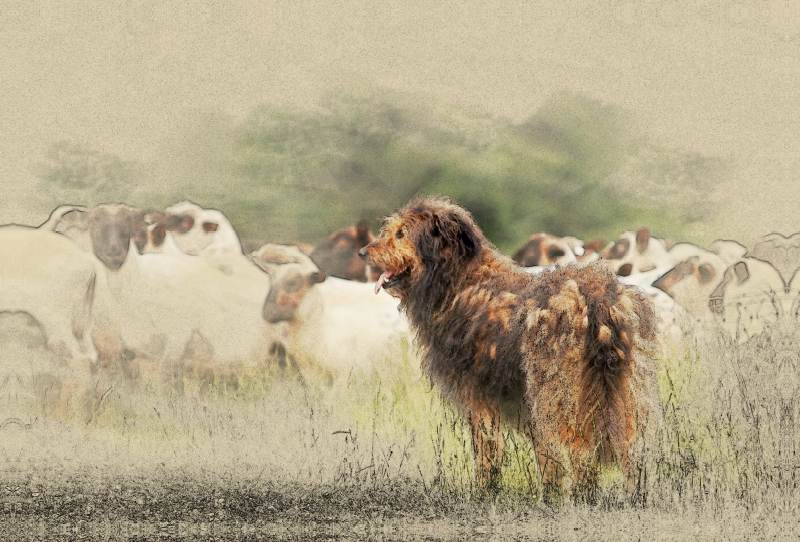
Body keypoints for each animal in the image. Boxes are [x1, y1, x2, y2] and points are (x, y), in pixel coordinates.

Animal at [360, 198, 660, 496]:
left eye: (401, 233)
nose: (363, 252)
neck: (458, 282)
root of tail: (597, 298)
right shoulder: (531, 411)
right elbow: (547, 462)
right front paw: (548, 495)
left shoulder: (479, 398)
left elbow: (487, 453)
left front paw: (483, 494)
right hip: (627, 395)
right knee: (632, 453)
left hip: (560, 396)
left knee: (580, 451)